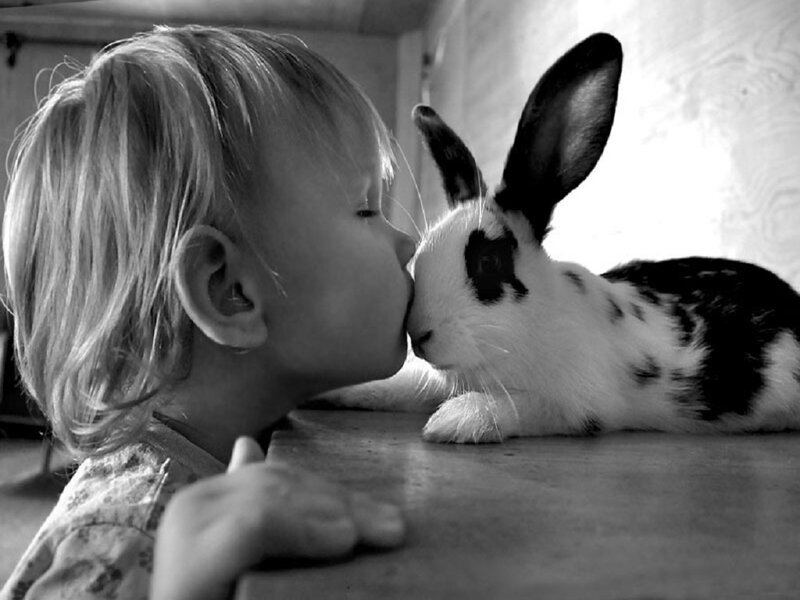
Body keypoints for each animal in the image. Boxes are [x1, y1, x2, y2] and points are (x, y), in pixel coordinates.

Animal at [323, 32, 800, 443]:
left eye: (489, 262)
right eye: (418, 255)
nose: (419, 335)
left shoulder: (572, 404)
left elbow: (521, 406)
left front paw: (457, 420)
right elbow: (403, 384)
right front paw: (340, 390)